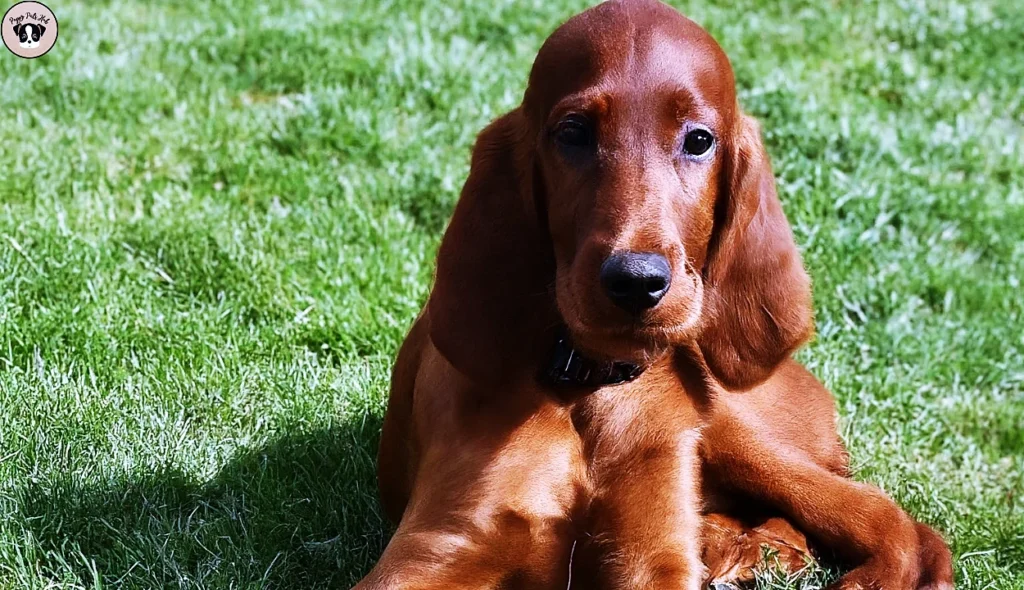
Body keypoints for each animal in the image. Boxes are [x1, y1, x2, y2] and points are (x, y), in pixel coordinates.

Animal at [356, 2, 954, 585]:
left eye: (699, 140)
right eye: (573, 133)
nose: (636, 280)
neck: (589, 386)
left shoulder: (653, 551)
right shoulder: (437, 549)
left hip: (733, 428)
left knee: (893, 520)